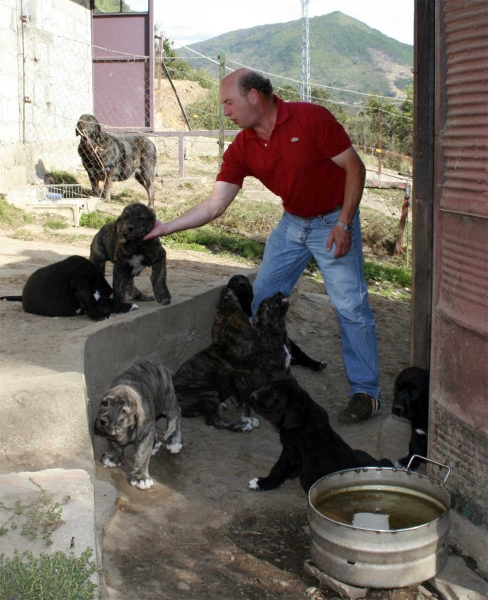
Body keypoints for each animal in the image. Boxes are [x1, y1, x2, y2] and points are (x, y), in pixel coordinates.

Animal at [0, 253, 137, 322]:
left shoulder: (98, 298)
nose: (109, 291)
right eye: (95, 280)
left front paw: (128, 306)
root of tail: (23, 295)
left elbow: (112, 303)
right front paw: (99, 315)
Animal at [94, 358, 182, 490]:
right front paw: (113, 457)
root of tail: (163, 367)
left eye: (123, 411)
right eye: (104, 403)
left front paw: (140, 477)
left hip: (167, 400)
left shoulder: (145, 432)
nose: (102, 421)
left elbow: (142, 454)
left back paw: (174, 439)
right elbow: (114, 443)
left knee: (176, 413)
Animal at [248, 378, 392, 494]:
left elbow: (278, 469)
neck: (303, 416)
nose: (252, 395)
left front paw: (261, 483)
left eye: (274, 392)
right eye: (265, 385)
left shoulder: (290, 451)